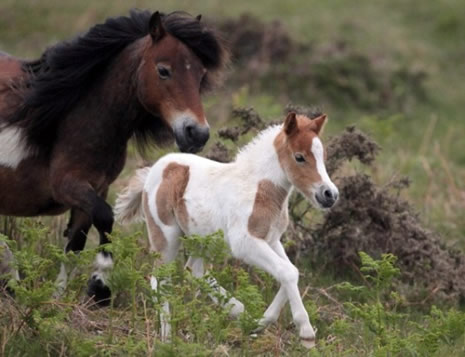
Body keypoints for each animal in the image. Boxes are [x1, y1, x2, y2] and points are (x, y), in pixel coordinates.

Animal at [0, 9, 227, 302]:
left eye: (200, 76)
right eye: (163, 71)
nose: (197, 134)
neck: (75, 120)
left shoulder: (96, 187)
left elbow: (76, 244)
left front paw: (61, 298)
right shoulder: (66, 185)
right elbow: (106, 217)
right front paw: (100, 287)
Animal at [115, 112, 340, 348]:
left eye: (322, 156)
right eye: (299, 157)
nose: (329, 194)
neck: (258, 188)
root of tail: (153, 171)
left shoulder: (271, 239)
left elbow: (290, 272)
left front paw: (259, 323)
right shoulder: (245, 242)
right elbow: (288, 272)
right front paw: (306, 332)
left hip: (200, 239)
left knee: (193, 270)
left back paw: (239, 312)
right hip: (166, 236)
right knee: (161, 279)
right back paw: (167, 340)